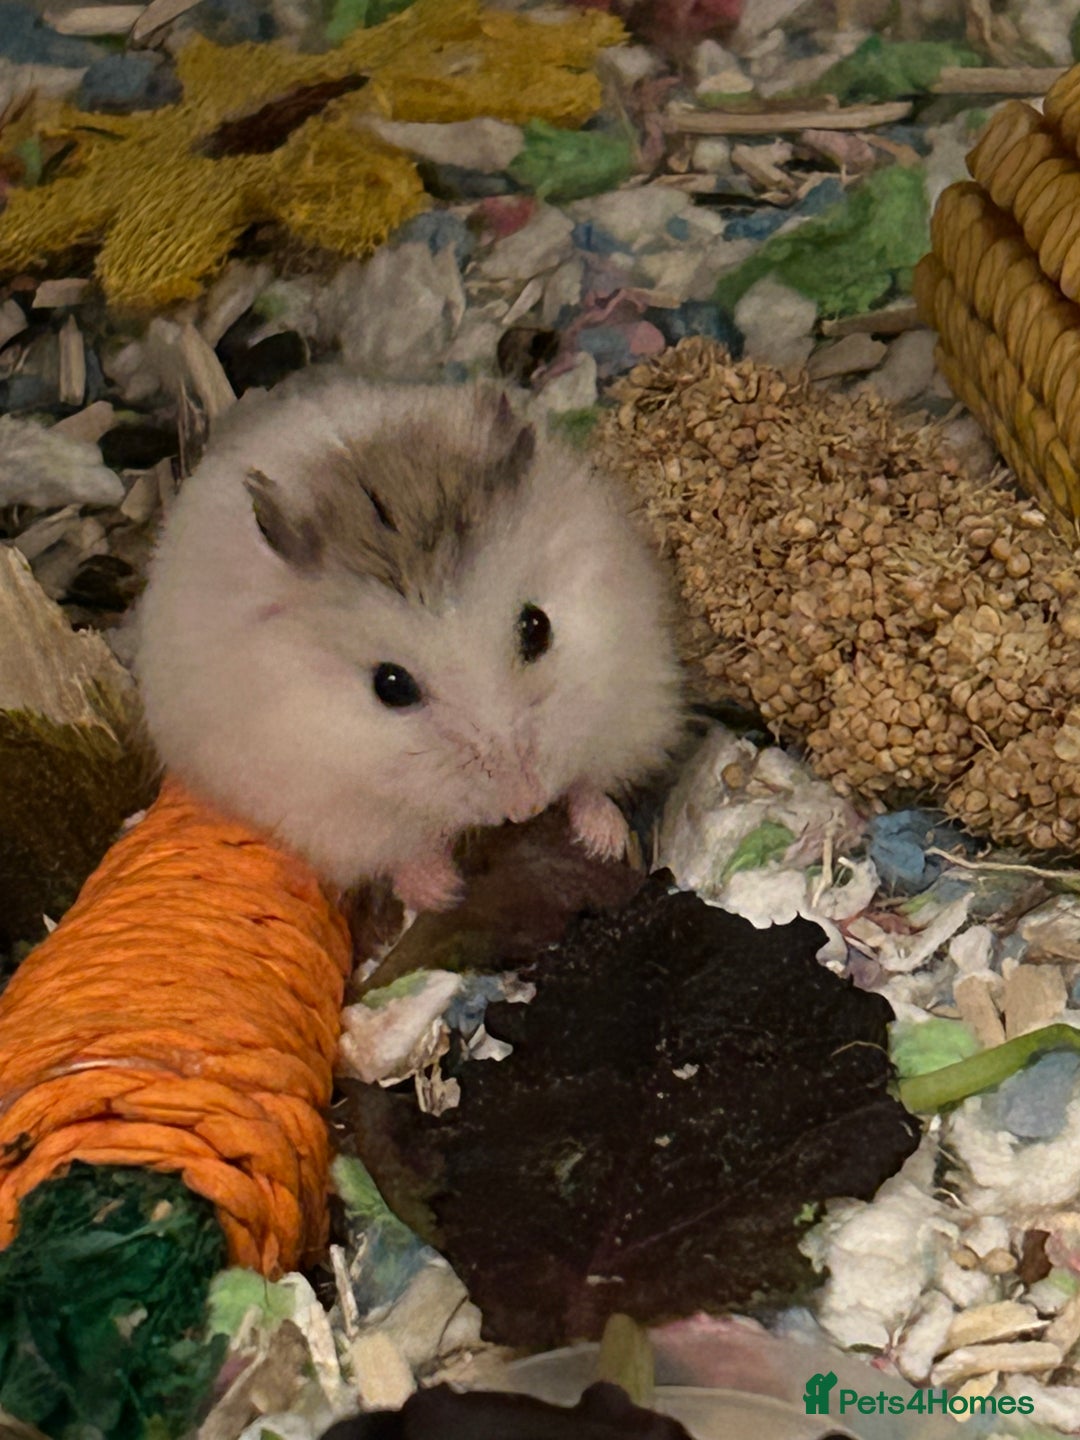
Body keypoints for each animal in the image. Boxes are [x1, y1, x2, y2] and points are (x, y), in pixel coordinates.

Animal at [135, 374, 684, 912]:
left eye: (537, 627)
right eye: (391, 686)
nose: (526, 806)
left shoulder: (629, 689)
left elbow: (591, 781)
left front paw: (604, 839)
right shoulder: (333, 807)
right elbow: (405, 852)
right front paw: (444, 892)